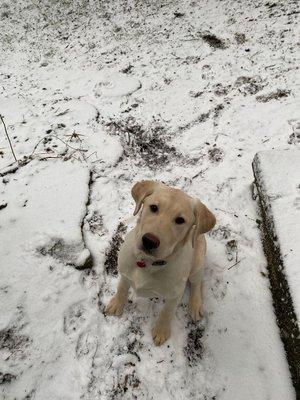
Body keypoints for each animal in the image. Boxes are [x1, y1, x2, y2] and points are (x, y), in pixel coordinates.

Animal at [105, 180, 216, 346]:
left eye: (180, 220)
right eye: (153, 207)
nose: (149, 241)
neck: (147, 262)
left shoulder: (173, 296)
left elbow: (166, 312)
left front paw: (161, 331)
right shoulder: (124, 272)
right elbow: (122, 288)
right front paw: (116, 304)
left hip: (198, 260)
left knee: (197, 282)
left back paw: (195, 304)